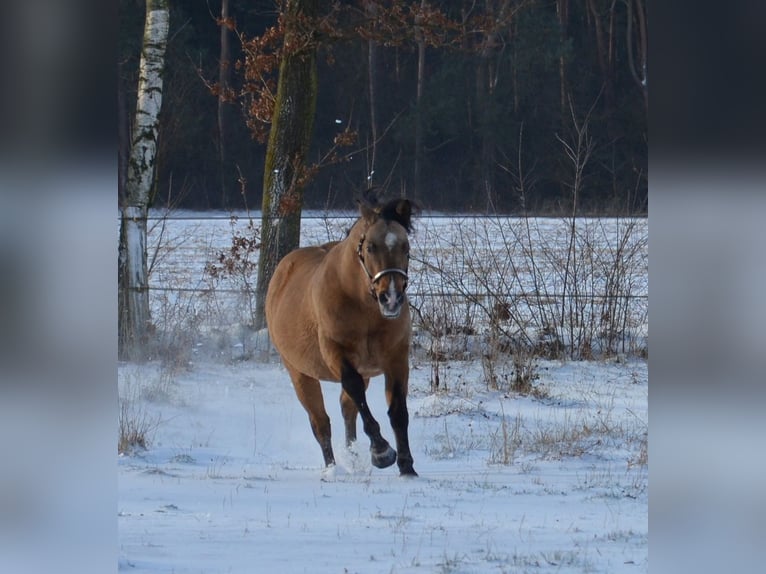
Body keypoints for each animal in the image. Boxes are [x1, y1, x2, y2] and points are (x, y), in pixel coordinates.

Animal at [265, 191, 418, 476]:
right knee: (321, 422)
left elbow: (397, 412)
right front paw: (382, 452)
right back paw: (332, 468)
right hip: (299, 373)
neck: (363, 306)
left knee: (347, 409)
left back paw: (353, 457)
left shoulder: (396, 359)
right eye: (371, 247)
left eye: (406, 247)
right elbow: (355, 390)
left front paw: (407, 468)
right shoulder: (338, 356)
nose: (391, 298)